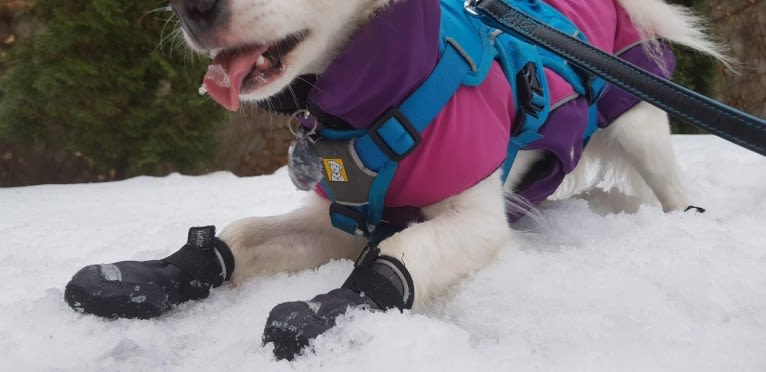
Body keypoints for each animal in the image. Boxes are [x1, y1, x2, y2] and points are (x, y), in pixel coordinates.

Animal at [64, 0, 728, 362]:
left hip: (638, 120)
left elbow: (400, 253)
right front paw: (151, 276)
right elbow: (243, 233)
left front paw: (331, 309)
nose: (192, 8)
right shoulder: (339, 215)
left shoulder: (475, 221)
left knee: (675, 192)